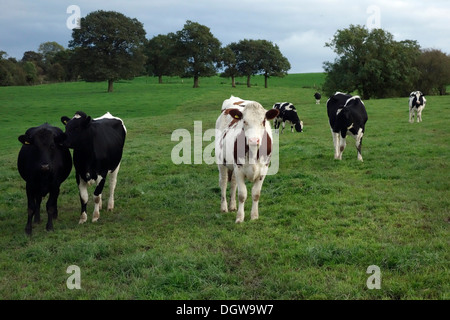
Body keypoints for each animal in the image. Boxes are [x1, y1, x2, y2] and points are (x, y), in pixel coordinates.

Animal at [214, 96, 278, 224]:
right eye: (244, 121)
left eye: (263, 121)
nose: (253, 140)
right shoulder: (239, 169)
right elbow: (242, 195)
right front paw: (240, 218)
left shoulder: (263, 170)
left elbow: (256, 194)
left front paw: (254, 216)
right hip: (221, 163)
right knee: (223, 182)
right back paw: (224, 207)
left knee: (233, 183)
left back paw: (232, 206)